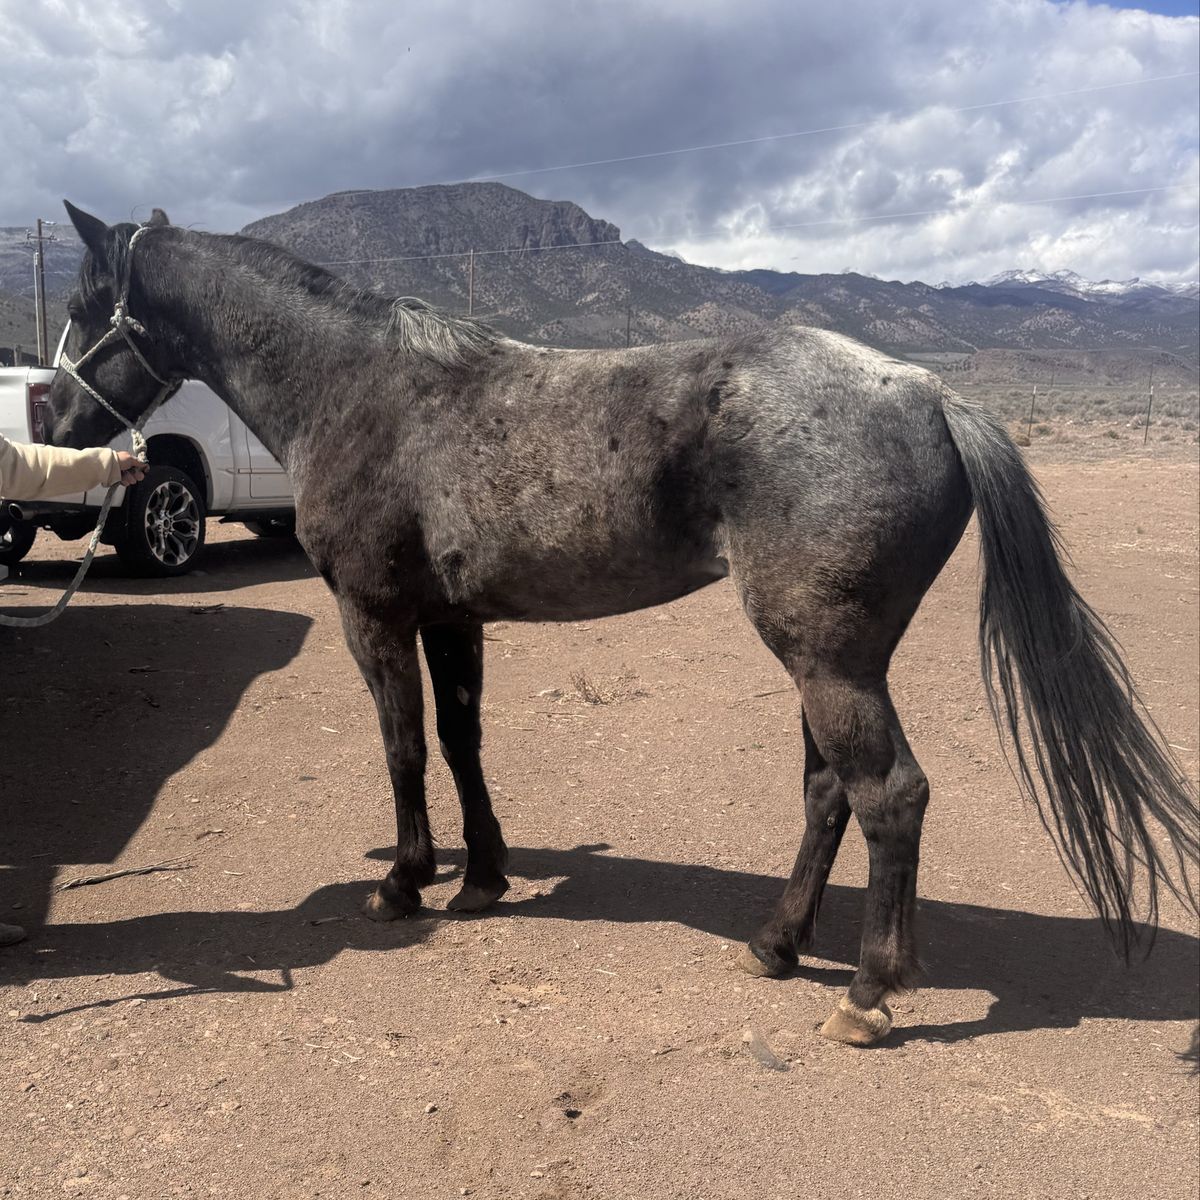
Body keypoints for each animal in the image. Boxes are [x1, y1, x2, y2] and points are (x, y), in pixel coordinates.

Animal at [43, 202, 1197, 1046]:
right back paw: (776, 945)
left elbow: (404, 746)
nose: (50, 418)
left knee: (889, 796)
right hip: (832, 659)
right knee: (829, 791)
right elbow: (462, 741)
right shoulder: (452, 617)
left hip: (827, 657)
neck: (364, 387)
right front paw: (484, 879)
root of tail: (926, 393)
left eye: (85, 303)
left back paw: (867, 997)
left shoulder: (373, 612)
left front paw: (405, 883)